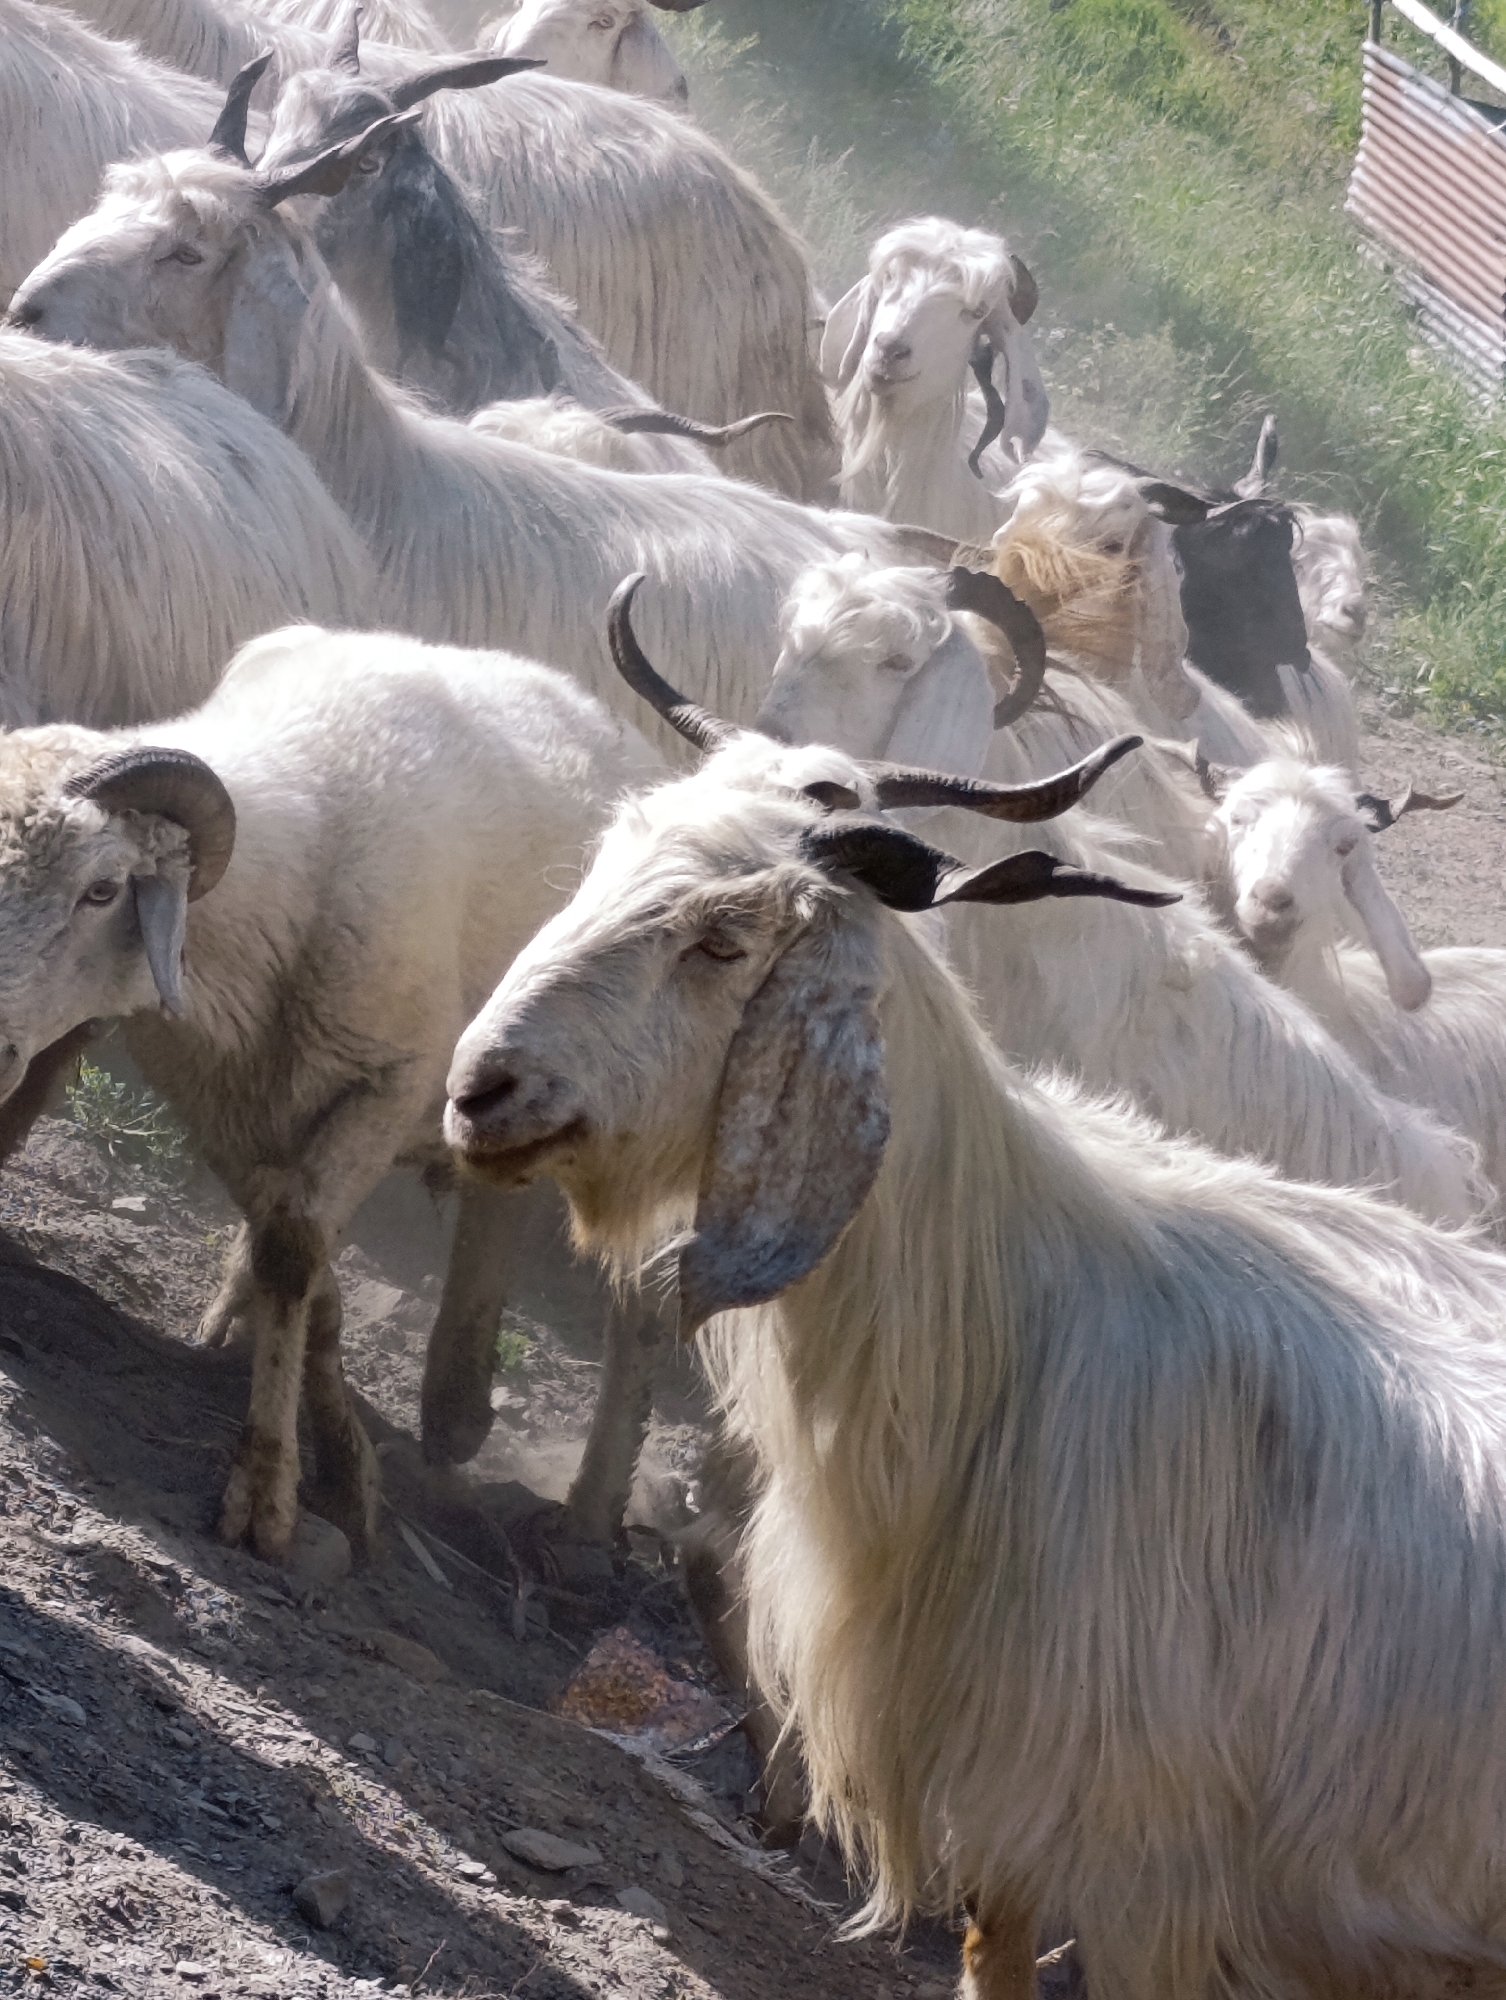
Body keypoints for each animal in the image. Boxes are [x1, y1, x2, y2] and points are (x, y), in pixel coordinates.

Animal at [0, 624, 664, 1565]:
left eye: (100, 891)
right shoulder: (227, 1099)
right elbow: (297, 1259)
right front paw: (343, 1466)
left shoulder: (390, 1083)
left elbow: (293, 1251)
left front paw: (273, 1495)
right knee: (482, 1210)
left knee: (635, 1304)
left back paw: (572, 1509)